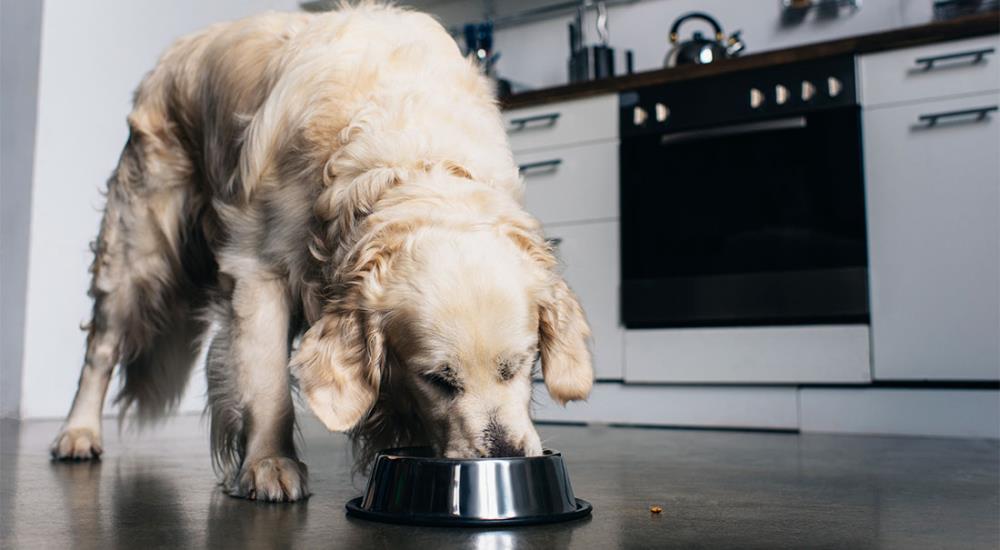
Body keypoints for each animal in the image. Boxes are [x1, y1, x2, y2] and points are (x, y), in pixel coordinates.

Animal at [50, 4, 588, 504]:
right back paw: (78, 433)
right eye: (437, 379)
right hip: (137, 249)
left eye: (521, 366)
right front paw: (269, 464)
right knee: (101, 349)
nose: (508, 456)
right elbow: (267, 381)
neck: (410, 157)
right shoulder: (257, 271)